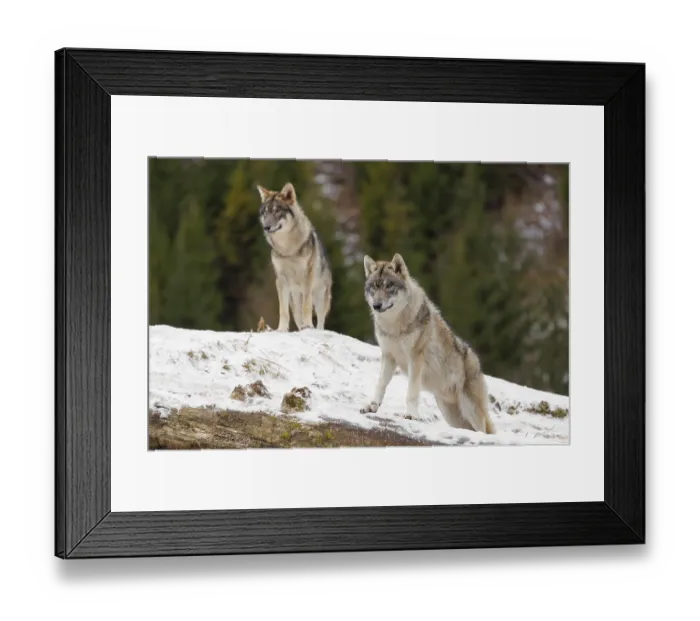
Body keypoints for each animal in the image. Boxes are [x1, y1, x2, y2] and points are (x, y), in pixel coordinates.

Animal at [257, 182, 332, 331]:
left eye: (276, 211)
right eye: (265, 212)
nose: (266, 227)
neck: (288, 249)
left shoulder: (307, 278)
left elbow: (307, 306)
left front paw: (308, 325)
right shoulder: (281, 280)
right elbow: (283, 311)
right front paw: (281, 329)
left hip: (320, 298)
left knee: (320, 320)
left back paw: (314, 328)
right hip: (294, 299)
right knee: (297, 317)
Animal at [361, 253, 496, 434]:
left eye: (389, 286)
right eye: (374, 287)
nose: (376, 305)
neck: (395, 325)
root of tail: (477, 363)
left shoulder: (415, 358)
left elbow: (412, 391)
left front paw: (411, 415)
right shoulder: (389, 356)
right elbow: (381, 384)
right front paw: (372, 406)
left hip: (471, 411)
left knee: (483, 430)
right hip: (452, 416)